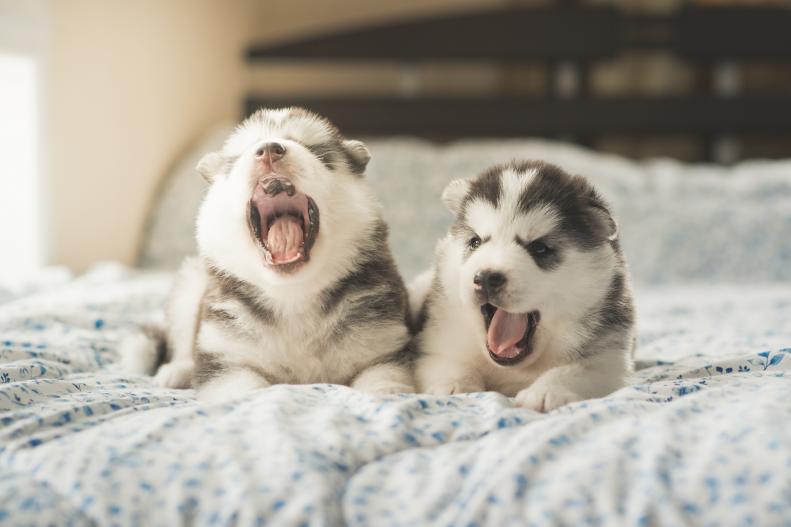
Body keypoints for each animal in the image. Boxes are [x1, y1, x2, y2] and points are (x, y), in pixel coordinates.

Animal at [124, 109, 414, 402]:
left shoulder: (382, 345)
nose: (269, 150)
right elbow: (246, 391)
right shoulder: (226, 357)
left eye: (310, 147)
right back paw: (177, 371)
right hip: (189, 286)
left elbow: (383, 377)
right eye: (244, 152)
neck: (293, 296)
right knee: (183, 343)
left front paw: (387, 393)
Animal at [412, 161, 636, 412]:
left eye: (540, 248)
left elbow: (578, 370)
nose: (486, 278)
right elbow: (447, 360)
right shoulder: (437, 339)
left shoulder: (610, 356)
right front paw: (454, 384)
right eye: (475, 242)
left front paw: (547, 392)